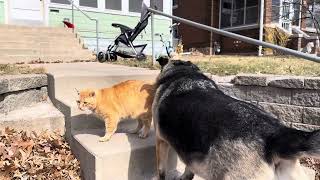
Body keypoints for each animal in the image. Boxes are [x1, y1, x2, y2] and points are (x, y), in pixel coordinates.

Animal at [152, 58, 320, 179]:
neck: (184, 74)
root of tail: (275, 134)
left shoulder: (161, 141)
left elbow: (161, 171)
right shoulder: (191, 150)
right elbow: (189, 170)